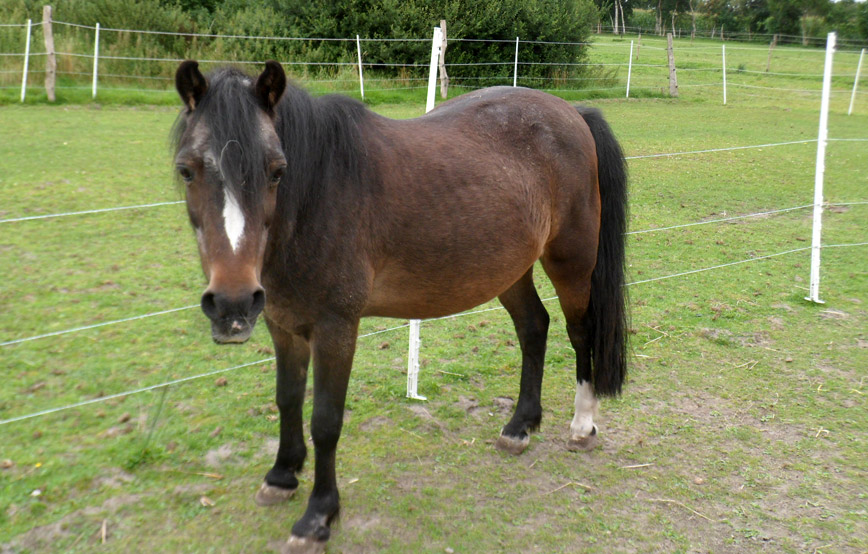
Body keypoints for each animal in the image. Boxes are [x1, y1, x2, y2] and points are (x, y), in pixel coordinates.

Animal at [172, 59, 628, 553]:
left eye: (277, 170)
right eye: (186, 170)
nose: (232, 303)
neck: (318, 196)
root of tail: (573, 113)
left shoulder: (335, 329)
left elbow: (325, 420)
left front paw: (318, 516)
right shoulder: (283, 325)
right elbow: (288, 400)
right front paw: (281, 476)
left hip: (571, 262)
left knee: (580, 332)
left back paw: (582, 426)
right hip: (509, 269)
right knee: (533, 327)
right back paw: (519, 427)